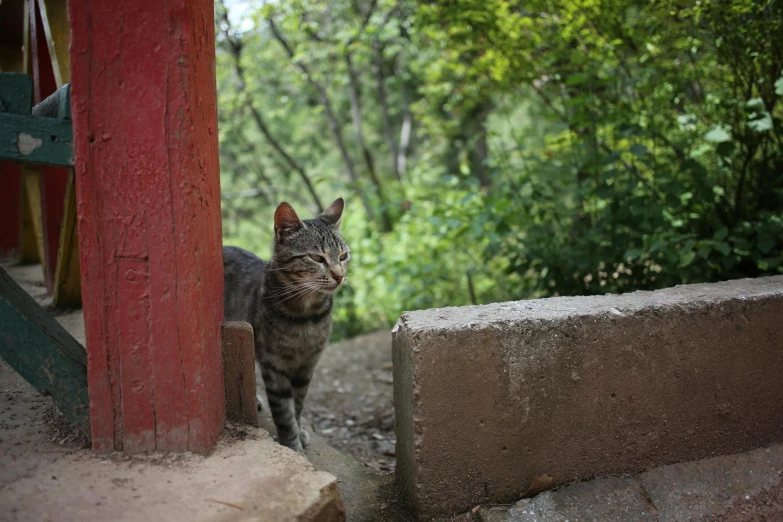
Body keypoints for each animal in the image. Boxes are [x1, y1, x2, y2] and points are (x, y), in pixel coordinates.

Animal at [225, 197, 350, 452]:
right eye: (317, 258)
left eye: (343, 256)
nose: (340, 275)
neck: (307, 317)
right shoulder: (274, 365)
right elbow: (283, 411)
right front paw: (293, 445)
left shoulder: (307, 365)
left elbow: (298, 404)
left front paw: (299, 430)